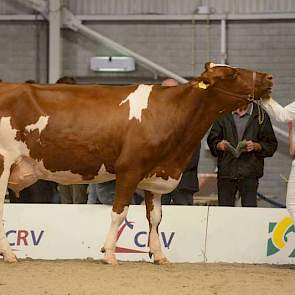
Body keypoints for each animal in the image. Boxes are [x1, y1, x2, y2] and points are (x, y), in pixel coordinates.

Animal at [0, 63, 272, 266]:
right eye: (232, 73)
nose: (269, 76)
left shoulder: (154, 174)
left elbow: (156, 217)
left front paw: (159, 255)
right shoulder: (129, 170)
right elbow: (119, 213)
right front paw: (109, 253)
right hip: (3, 162)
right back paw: (10, 254)